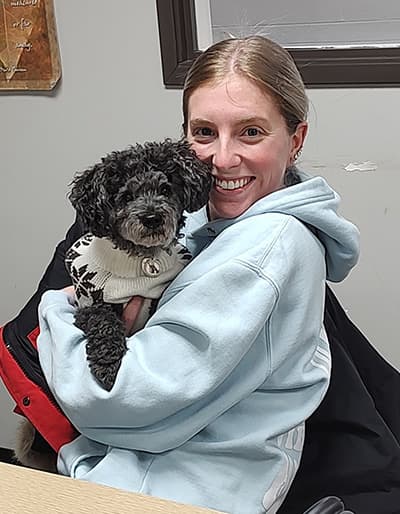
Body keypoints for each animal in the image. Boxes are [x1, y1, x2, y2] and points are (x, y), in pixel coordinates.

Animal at [67, 139, 211, 388]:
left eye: (165, 189)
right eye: (126, 197)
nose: (152, 218)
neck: (140, 258)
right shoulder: (89, 305)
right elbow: (104, 322)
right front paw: (107, 362)